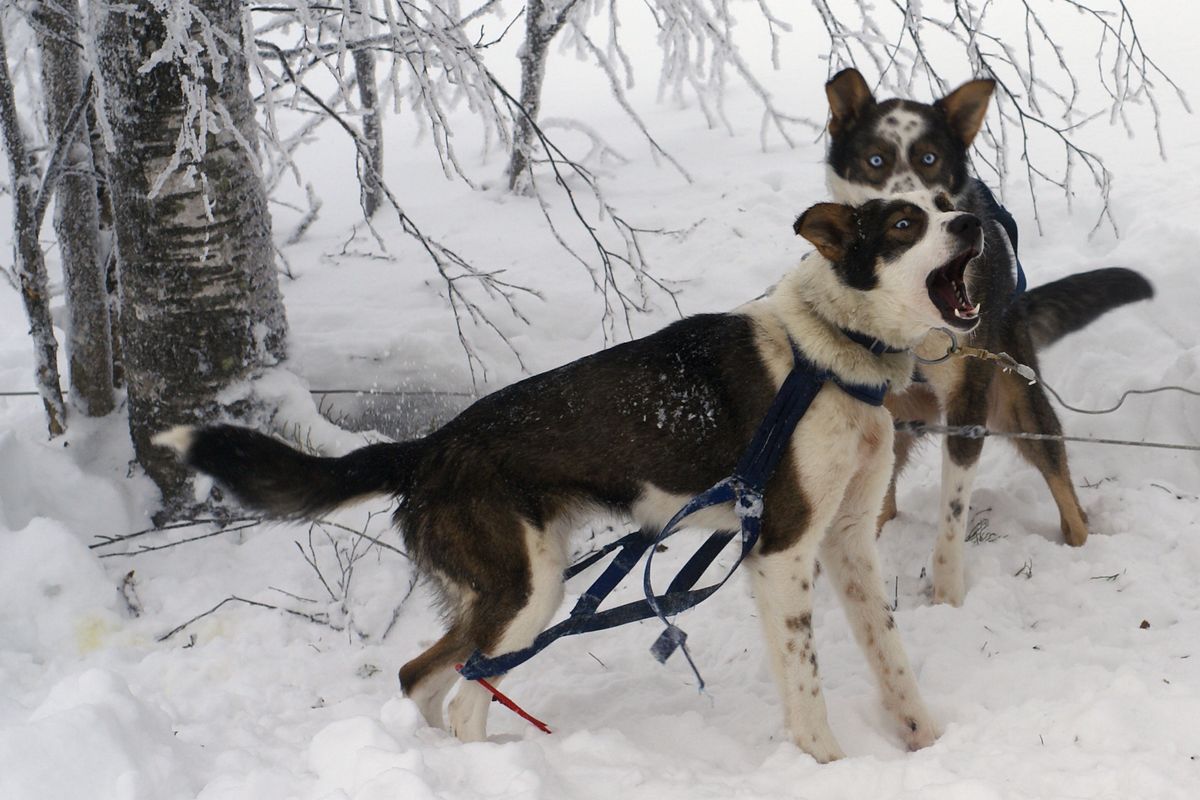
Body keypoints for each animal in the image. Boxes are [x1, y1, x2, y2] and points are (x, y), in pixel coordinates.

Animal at [157, 191, 984, 758]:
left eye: (944, 204)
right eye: (905, 223)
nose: (975, 223)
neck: (830, 353)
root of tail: (429, 448)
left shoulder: (848, 541)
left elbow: (892, 660)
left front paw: (923, 741)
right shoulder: (781, 552)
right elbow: (807, 689)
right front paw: (829, 765)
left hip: (513, 593)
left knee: (421, 677)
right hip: (528, 594)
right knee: (465, 697)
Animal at [825, 68, 1152, 606]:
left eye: (930, 159)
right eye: (875, 160)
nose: (911, 213)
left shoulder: (969, 408)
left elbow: (952, 517)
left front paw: (947, 598)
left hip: (1020, 405)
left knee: (1068, 498)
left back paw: (1082, 546)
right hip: (896, 423)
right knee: (882, 501)